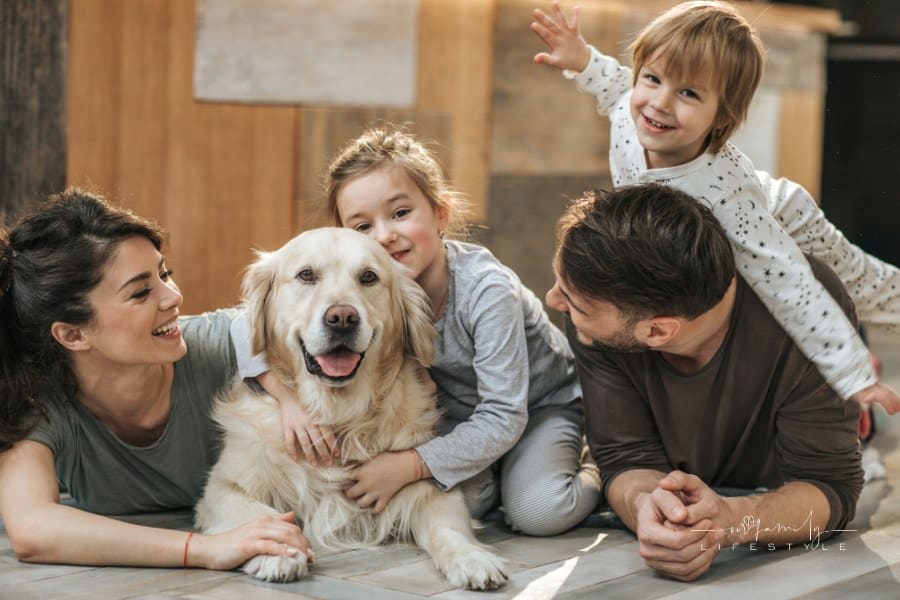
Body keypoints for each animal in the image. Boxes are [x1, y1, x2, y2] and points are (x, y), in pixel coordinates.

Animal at [195, 227, 506, 588]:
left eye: (368, 276)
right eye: (306, 274)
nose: (342, 318)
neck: (339, 415)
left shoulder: (430, 486)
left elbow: (448, 527)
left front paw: (473, 559)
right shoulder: (221, 487)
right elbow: (260, 513)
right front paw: (277, 551)